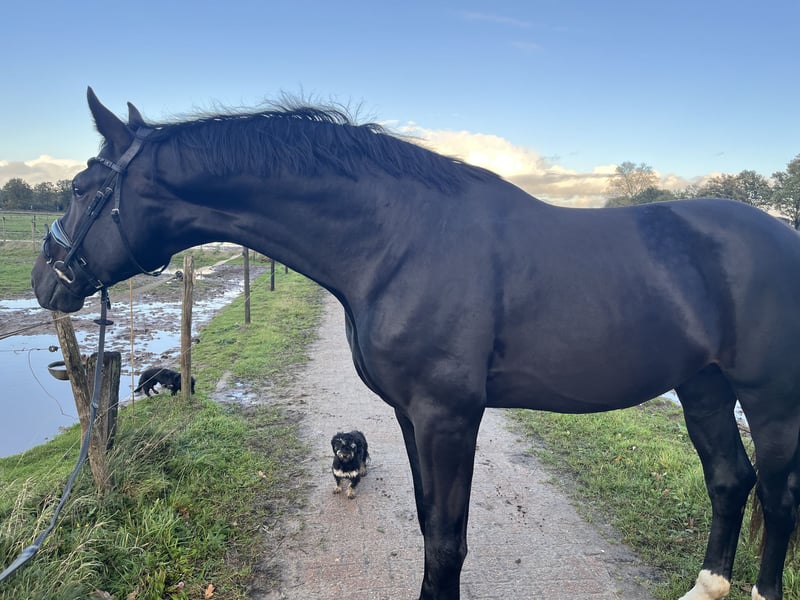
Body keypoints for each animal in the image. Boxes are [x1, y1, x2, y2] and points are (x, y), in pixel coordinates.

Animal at [32, 88, 800, 600]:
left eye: (83, 187)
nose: (44, 280)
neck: (397, 242)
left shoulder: (448, 417)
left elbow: (448, 540)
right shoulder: (409, 416)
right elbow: (430, 522)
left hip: (768, 401)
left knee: (778, 495)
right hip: (703, 385)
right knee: (730, 479)